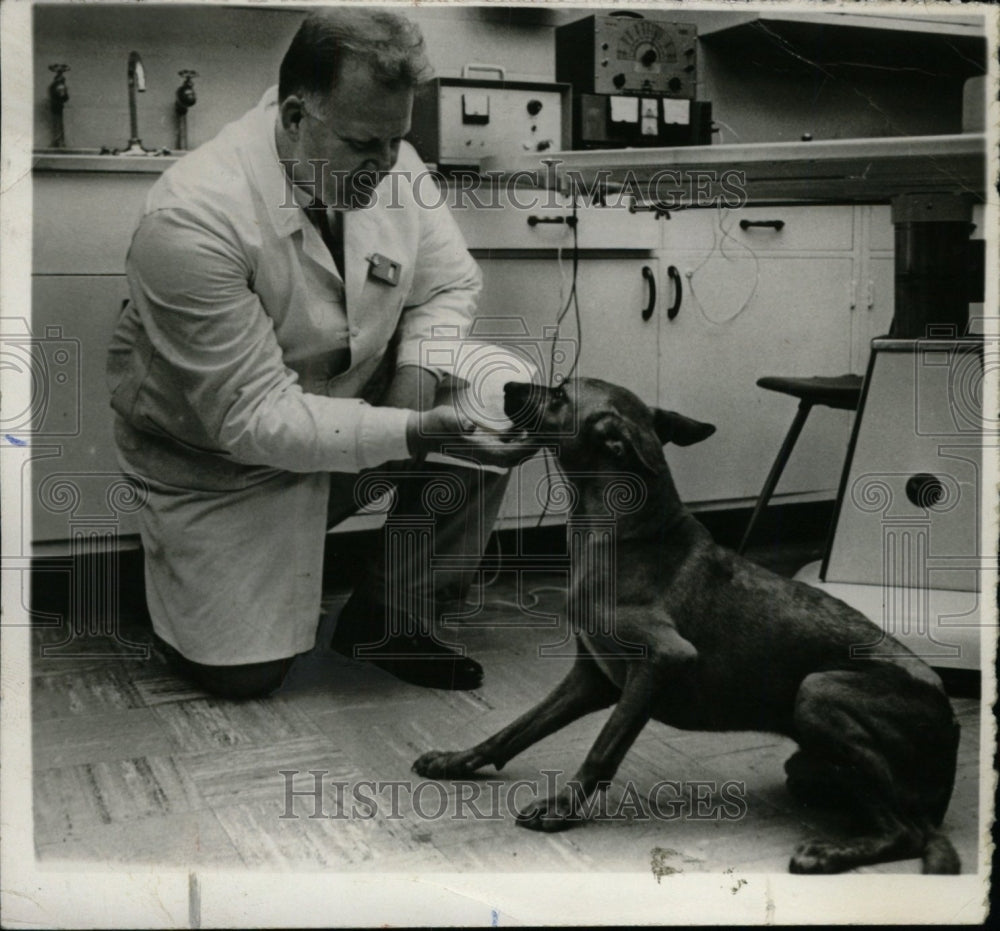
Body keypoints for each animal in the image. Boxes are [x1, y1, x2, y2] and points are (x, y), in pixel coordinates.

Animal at [414, 374, 960, 872]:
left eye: (561, 395)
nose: (508, 386)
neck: (621, 534)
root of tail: (952, 725)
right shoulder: (591, 676)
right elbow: (514, 729)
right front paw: (455, 760)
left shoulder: (661, 660)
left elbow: (602, 750)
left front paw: (562, 807)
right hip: (807, 762)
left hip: (817, 692)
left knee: (906, 831)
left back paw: (829, 852)